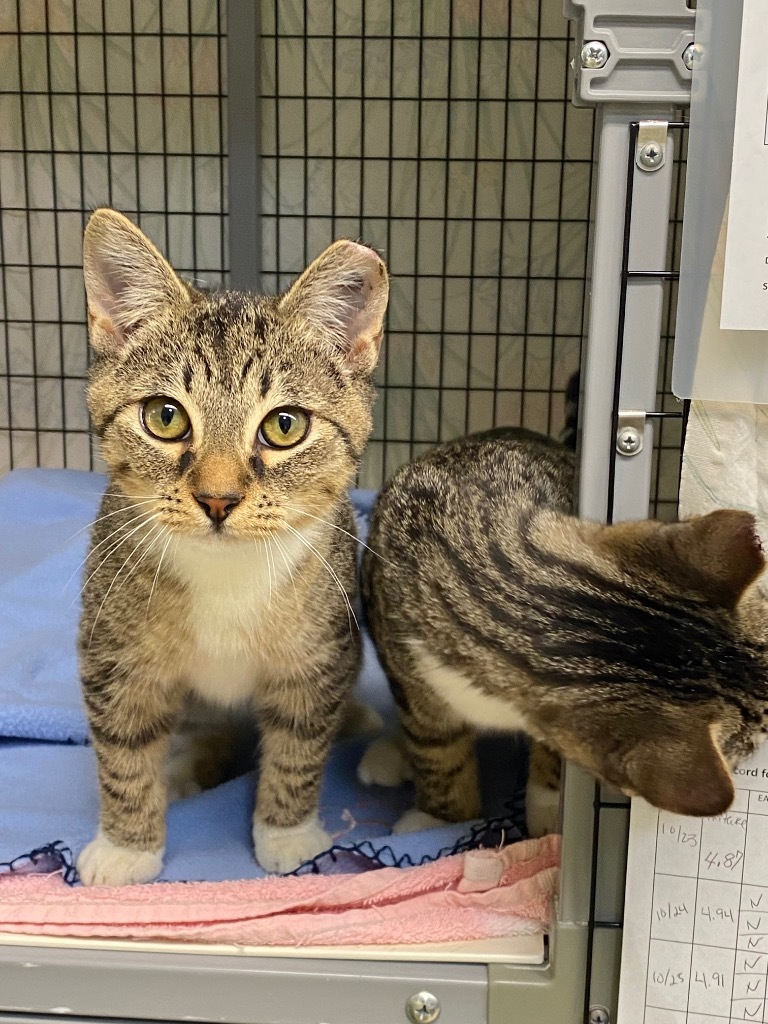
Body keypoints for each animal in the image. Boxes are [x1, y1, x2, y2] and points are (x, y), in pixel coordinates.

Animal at [78, 203, 391, 884]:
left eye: (285, 425)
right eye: (165, 416)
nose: (218, 499)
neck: (226, 574)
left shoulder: (317, 652)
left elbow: (299, 739)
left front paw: (287, 831)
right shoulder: (114, 651)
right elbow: (123, 746)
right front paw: (127, 845)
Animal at [360, 423, 768, 831]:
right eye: (754, 742)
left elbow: (554, 761)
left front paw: (548, 813)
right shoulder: (413, 673)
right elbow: (438, 755)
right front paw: (444, 820)